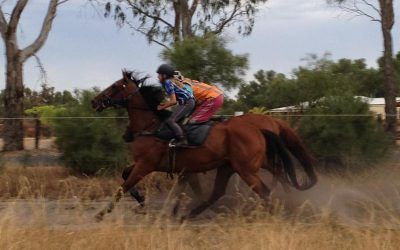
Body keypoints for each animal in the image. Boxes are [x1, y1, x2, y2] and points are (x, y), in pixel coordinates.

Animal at [91, 71, 318, 221]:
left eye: (115, 86)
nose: (94, 101)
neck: (152, 127)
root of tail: (265, 125)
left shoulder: (146, 164)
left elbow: (123, 186)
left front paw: (101, 213)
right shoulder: (167, 166)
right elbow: (126, 175)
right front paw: (143, 201)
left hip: (246, 168)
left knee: (265, 189)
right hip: (234, 166)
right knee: (224, 190)